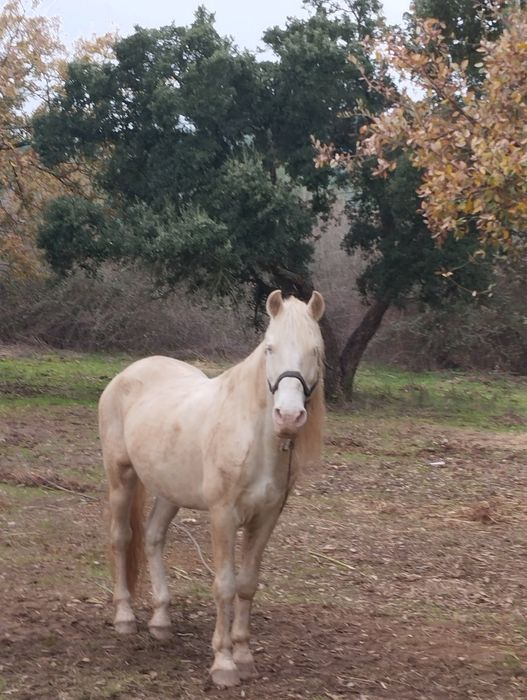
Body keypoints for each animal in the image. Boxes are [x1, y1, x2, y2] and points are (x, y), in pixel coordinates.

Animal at [98, 290, 326, 687]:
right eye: (270, 347)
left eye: (314, 349)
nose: (288, 416)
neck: (253, 436)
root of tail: (128, 374)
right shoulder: (223, 516)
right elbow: (225, 586)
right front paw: (223, 663)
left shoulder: (266, 518)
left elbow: (247, 584)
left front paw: (245, 657)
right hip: (121, 479)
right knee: (122, 538)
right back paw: (124, 616)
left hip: (169, 491)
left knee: (153, 537)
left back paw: (161, 621)